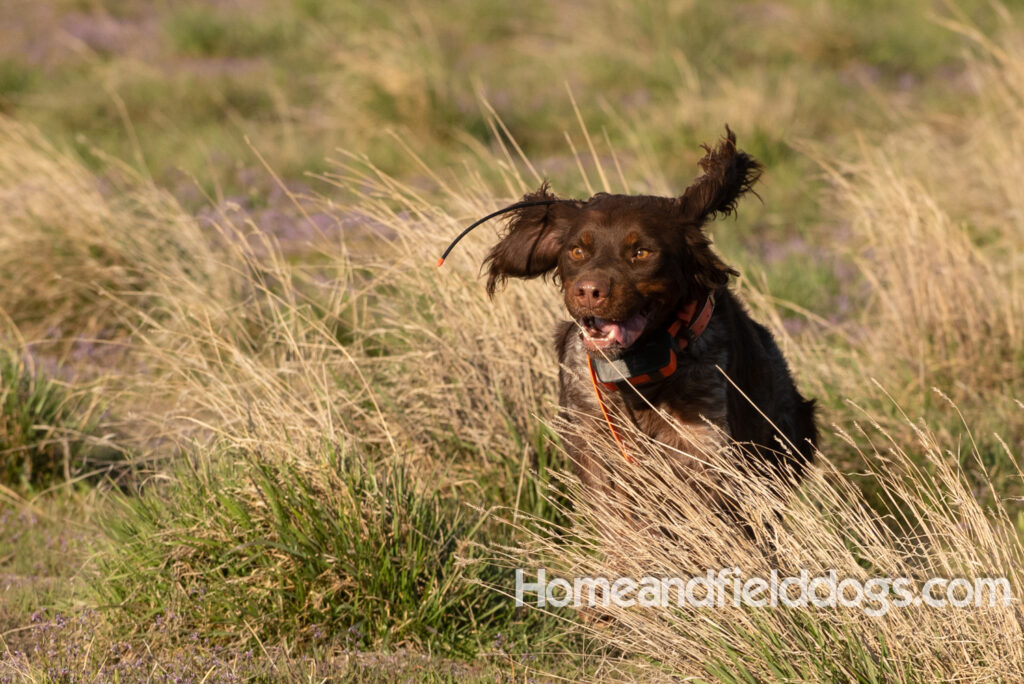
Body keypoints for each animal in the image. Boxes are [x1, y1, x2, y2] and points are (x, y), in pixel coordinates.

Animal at [479, 125, 815, 516]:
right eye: (576, 250)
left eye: (641, 252)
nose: (588, 291)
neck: (637, 371)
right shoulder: (592, 445)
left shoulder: (705, 447)